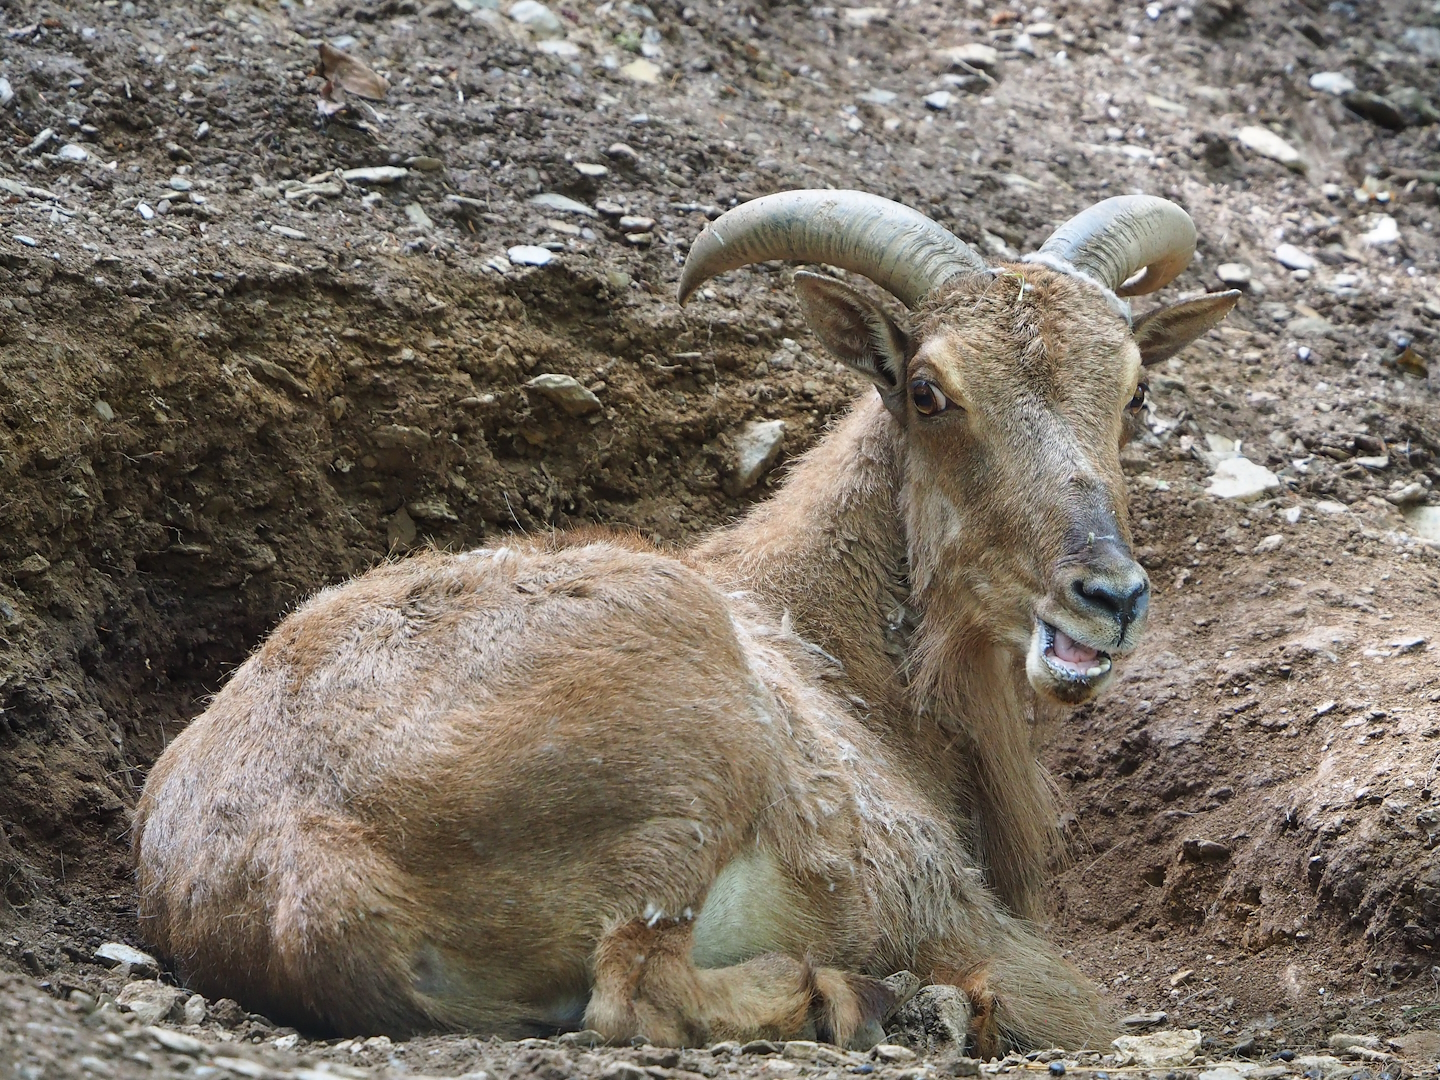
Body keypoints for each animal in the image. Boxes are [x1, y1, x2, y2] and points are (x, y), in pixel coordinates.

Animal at [133, 190, 1238, 1054]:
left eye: (1133, 390)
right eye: (929, 389)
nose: (1109, 595)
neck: (836, 647)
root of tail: (309, 882)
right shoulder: (961, 917)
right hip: (688, 758)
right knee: (637, 991)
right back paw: (862, 997)